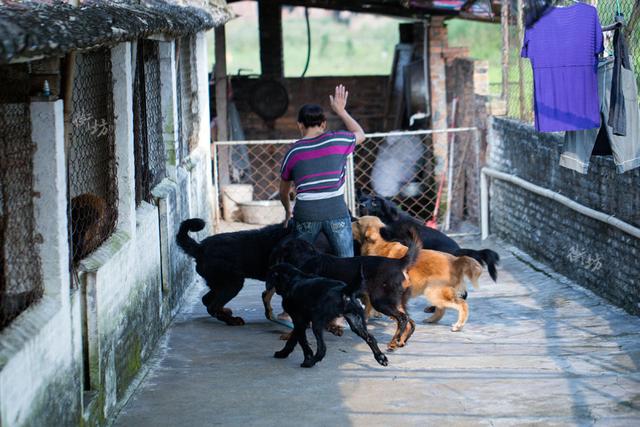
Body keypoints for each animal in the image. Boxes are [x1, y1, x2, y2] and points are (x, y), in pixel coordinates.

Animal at [266, 234, 420, 352]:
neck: (307, 258)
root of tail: (399, 263)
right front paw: (333, 328)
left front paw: (289, 335)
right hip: (395, 301)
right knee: (410, 321)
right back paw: (399, 341)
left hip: (381, 301)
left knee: (403, 319)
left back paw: (394, 341)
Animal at [352, 216, 482, 332]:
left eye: (358, 222)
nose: (351, 220)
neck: (381, 245)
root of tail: (455, 260)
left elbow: (368, 306)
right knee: (442, 309)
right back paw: (431, 319)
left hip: (434, 292)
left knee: (462, 305)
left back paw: (458, 325)